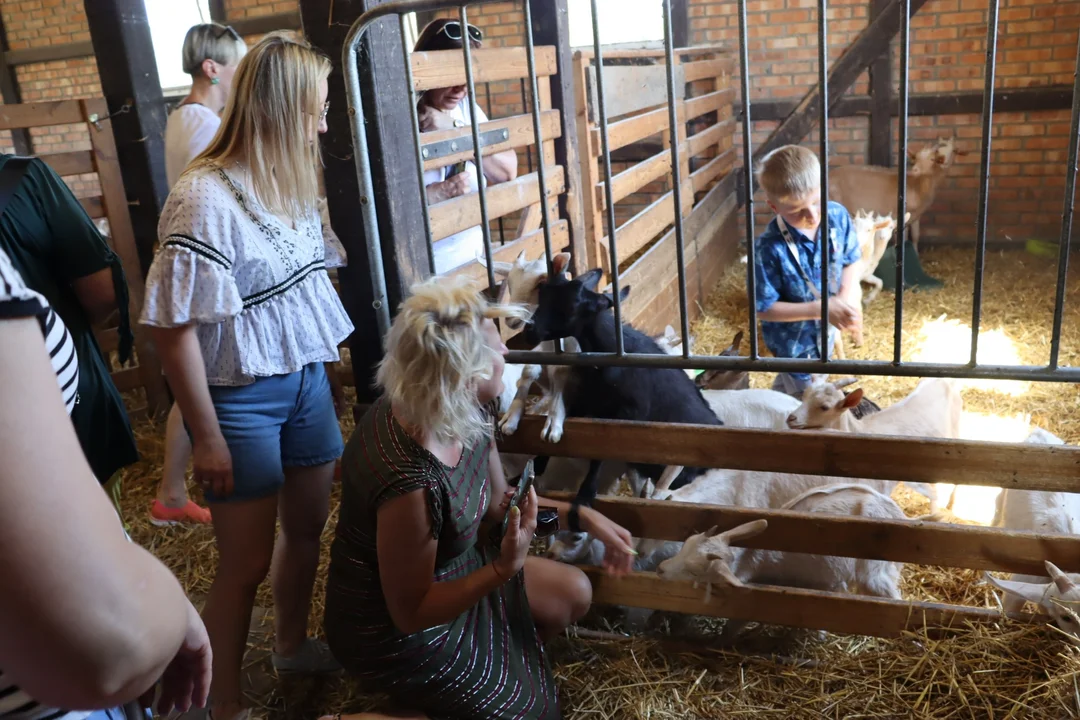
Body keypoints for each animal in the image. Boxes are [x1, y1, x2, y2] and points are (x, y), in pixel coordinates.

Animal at [524, 267, 725, 505]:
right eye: (542, 294)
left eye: (571, 307)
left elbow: (602, 453)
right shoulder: (588, 401)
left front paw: (586, 493)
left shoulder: (626, 415)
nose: (529, 331)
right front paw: (537, 463)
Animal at [656, 483, 902, 643]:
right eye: (686, 543)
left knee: (891, 596)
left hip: (875, 571)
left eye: (695, 572)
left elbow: (735, 623)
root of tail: (897, 512)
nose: (660, 569)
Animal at [829, 137, 967, 250]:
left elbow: (915, 236)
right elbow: (904, 239)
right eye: (917, 158)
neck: (919, 182)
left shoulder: (917, 215)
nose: (915, 169)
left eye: (954, 150)